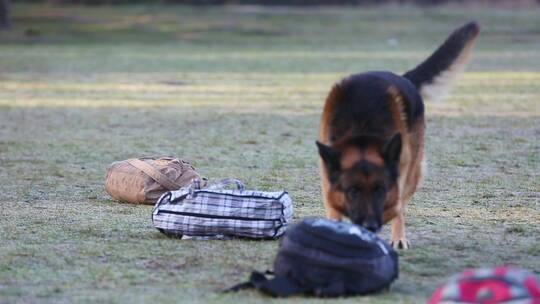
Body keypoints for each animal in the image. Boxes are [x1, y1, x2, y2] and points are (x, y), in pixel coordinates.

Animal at [318, 22, 478, 249]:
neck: (362, 132)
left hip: (414, 171)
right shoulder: (327, 176)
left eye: (380, 190)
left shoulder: (399, 176)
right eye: (353, 191)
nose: (369, 226)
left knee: (402, 204)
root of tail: (403, 77)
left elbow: (395, 207)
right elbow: (334, 209)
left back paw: (398, 237)